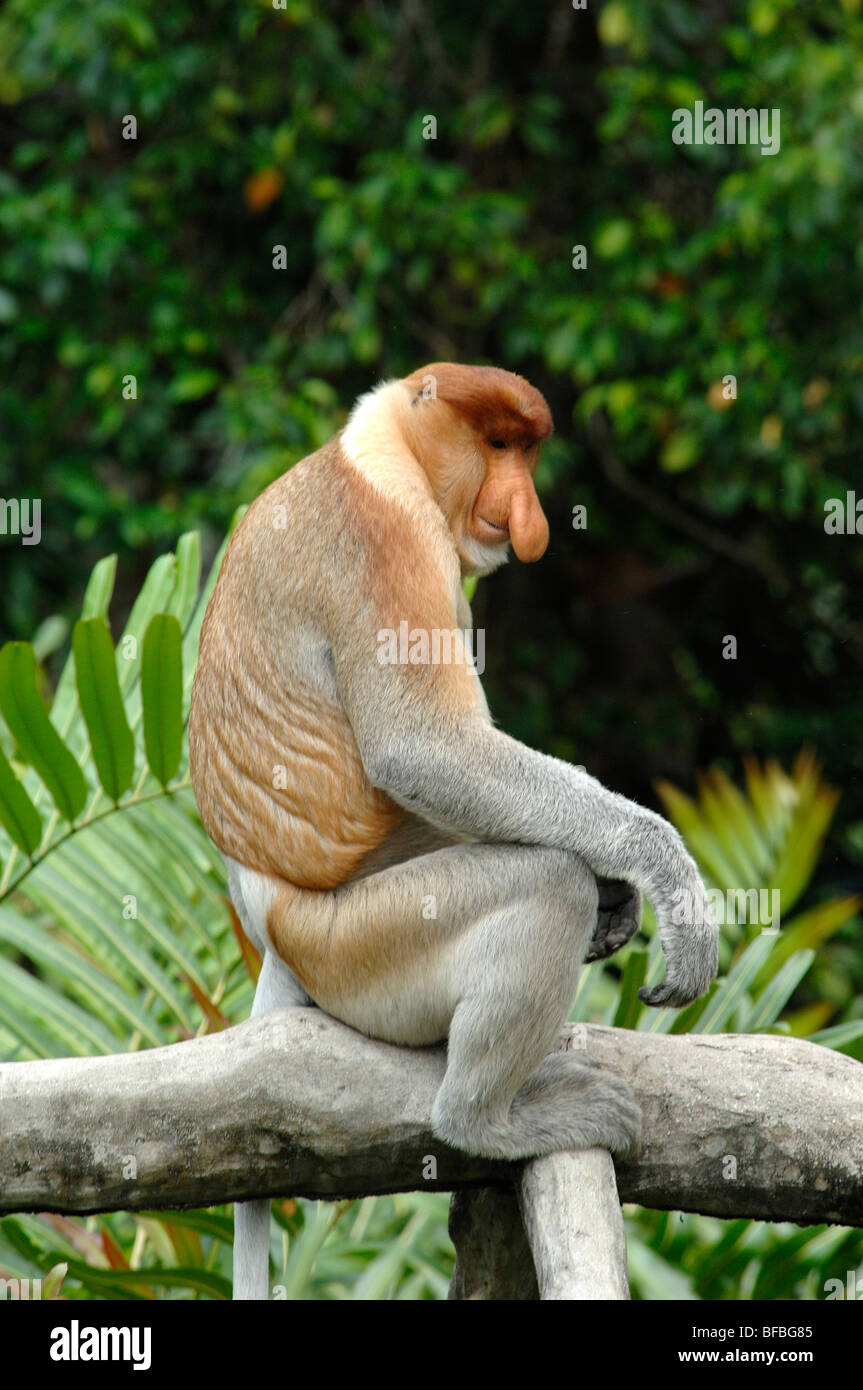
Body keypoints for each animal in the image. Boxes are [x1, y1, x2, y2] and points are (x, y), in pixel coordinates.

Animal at [186, 364, 711, 1295]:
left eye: (526, 452)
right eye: (496, 445)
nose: (527, 515)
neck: (386, 448)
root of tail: (272, 928)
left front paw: (621, 895)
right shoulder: (389, 541)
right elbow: (426, 749)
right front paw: (659, 874)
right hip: (359, 946)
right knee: (541, 882)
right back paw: (486, 1119)